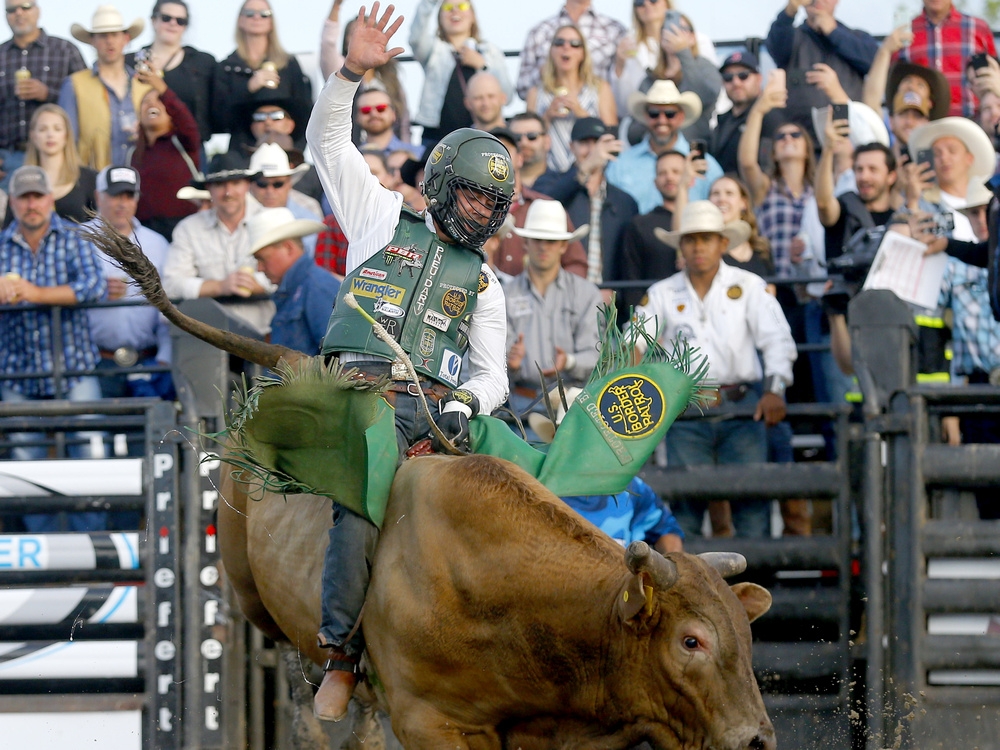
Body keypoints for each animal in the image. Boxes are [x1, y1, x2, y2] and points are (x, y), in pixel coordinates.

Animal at [84, 226, 772, 748]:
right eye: (691, 640)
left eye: (746, 634)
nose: (757, 739)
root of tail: (296, 363)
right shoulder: (431, 723)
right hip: (252, 589)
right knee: (296, 667)